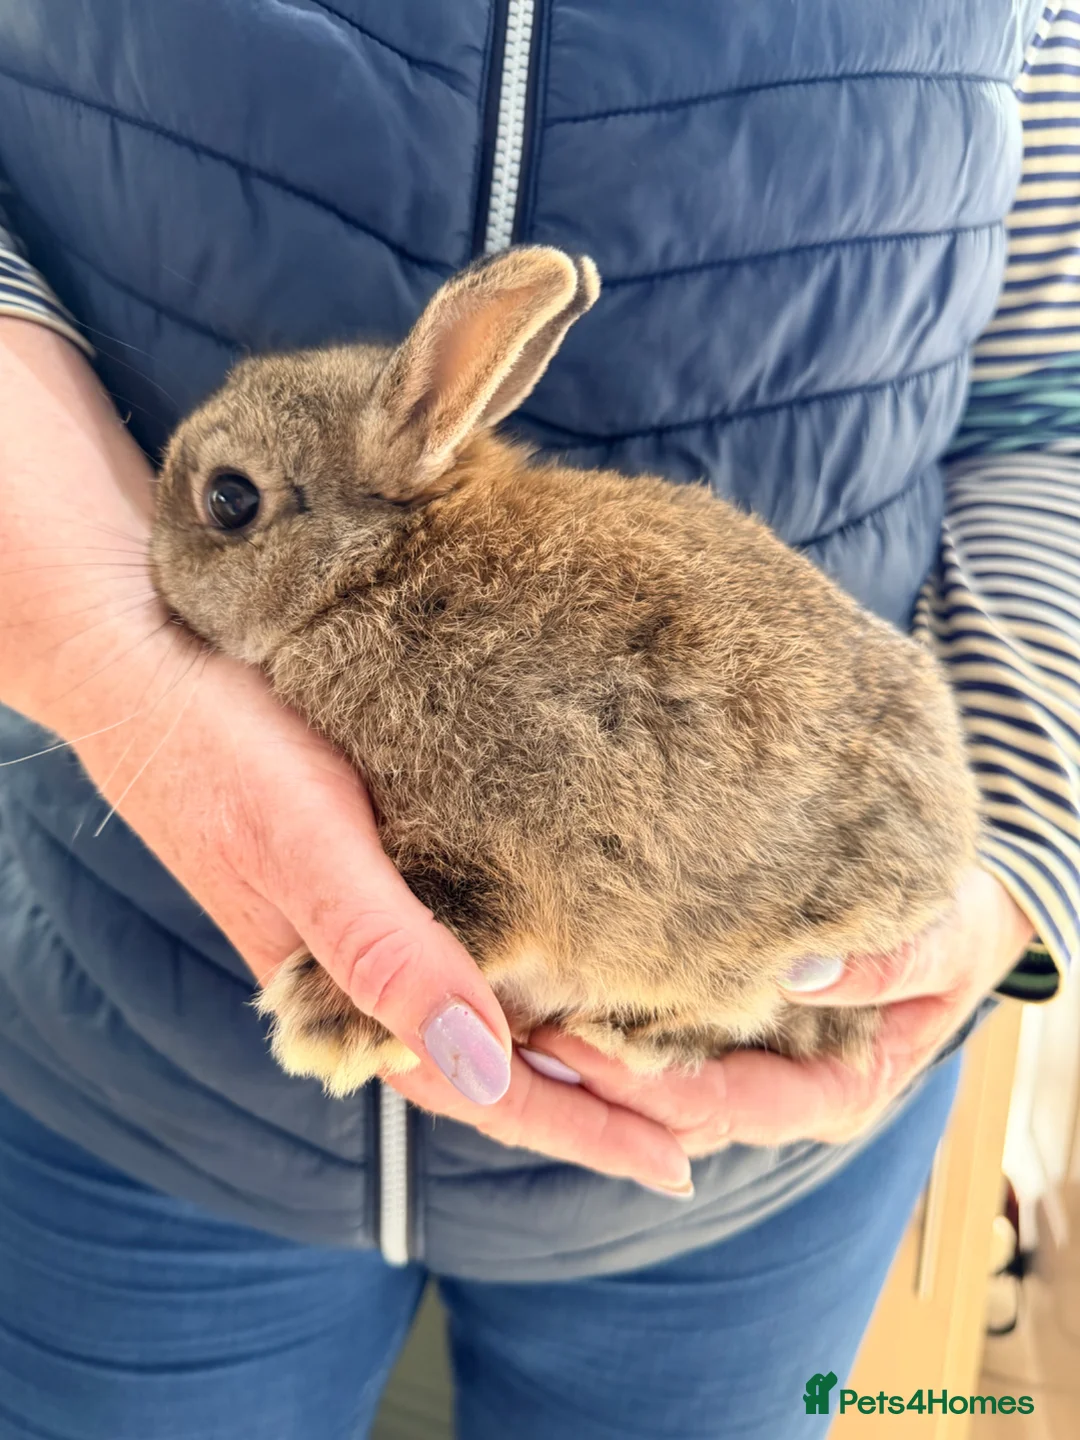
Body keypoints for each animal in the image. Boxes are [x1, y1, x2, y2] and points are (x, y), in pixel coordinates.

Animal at [149, 245, 979, 1098]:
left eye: (230, 498)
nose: (153, 565)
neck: (374, 574)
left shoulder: (506, 826)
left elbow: (465, 906)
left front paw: (325, 1019)